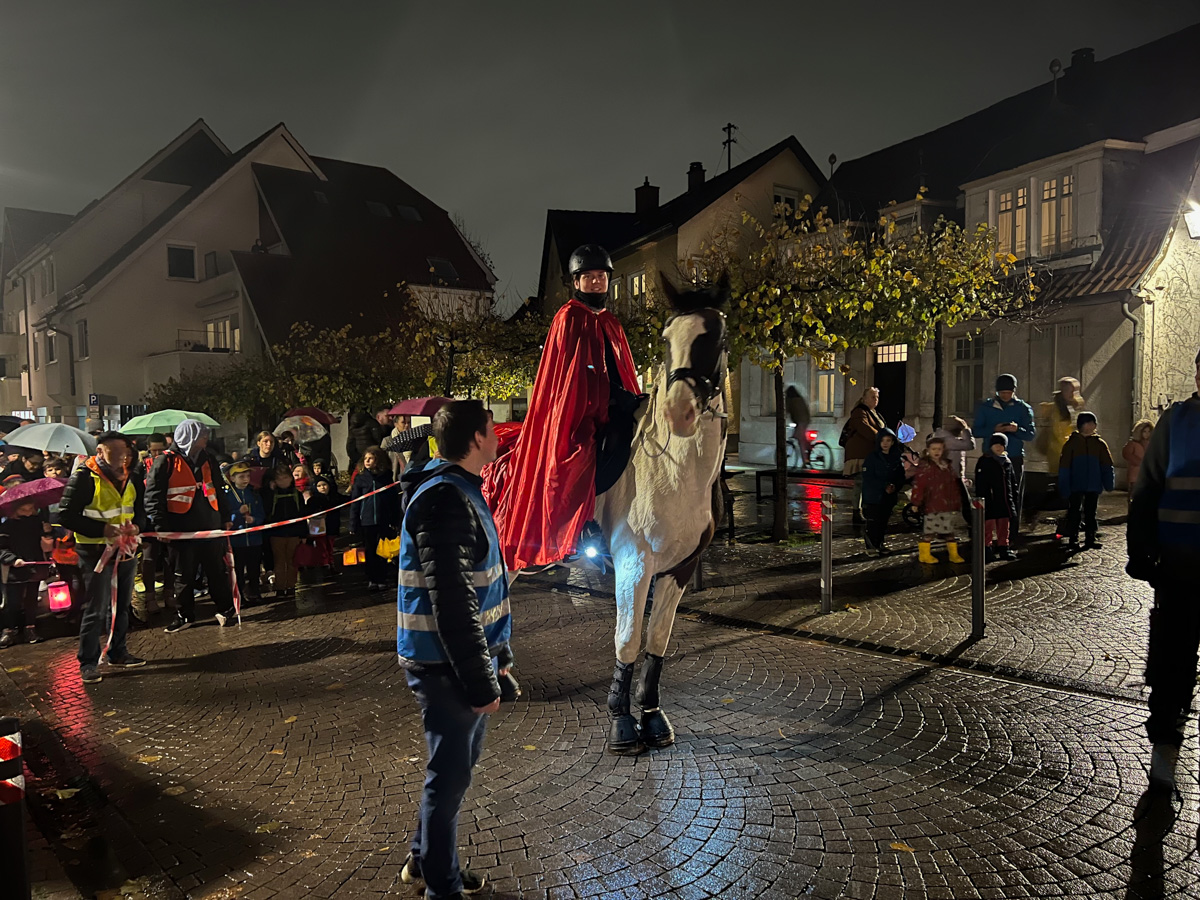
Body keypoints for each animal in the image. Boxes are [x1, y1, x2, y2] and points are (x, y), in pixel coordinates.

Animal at [595, 274, 724, 753]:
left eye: (716, 336)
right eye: (666, 338)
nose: (678, 412)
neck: (675, 470)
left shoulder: (679, 568)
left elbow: (656, 641)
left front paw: (651, 717)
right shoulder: (634, 564)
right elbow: (628, 640)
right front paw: (620, 722)